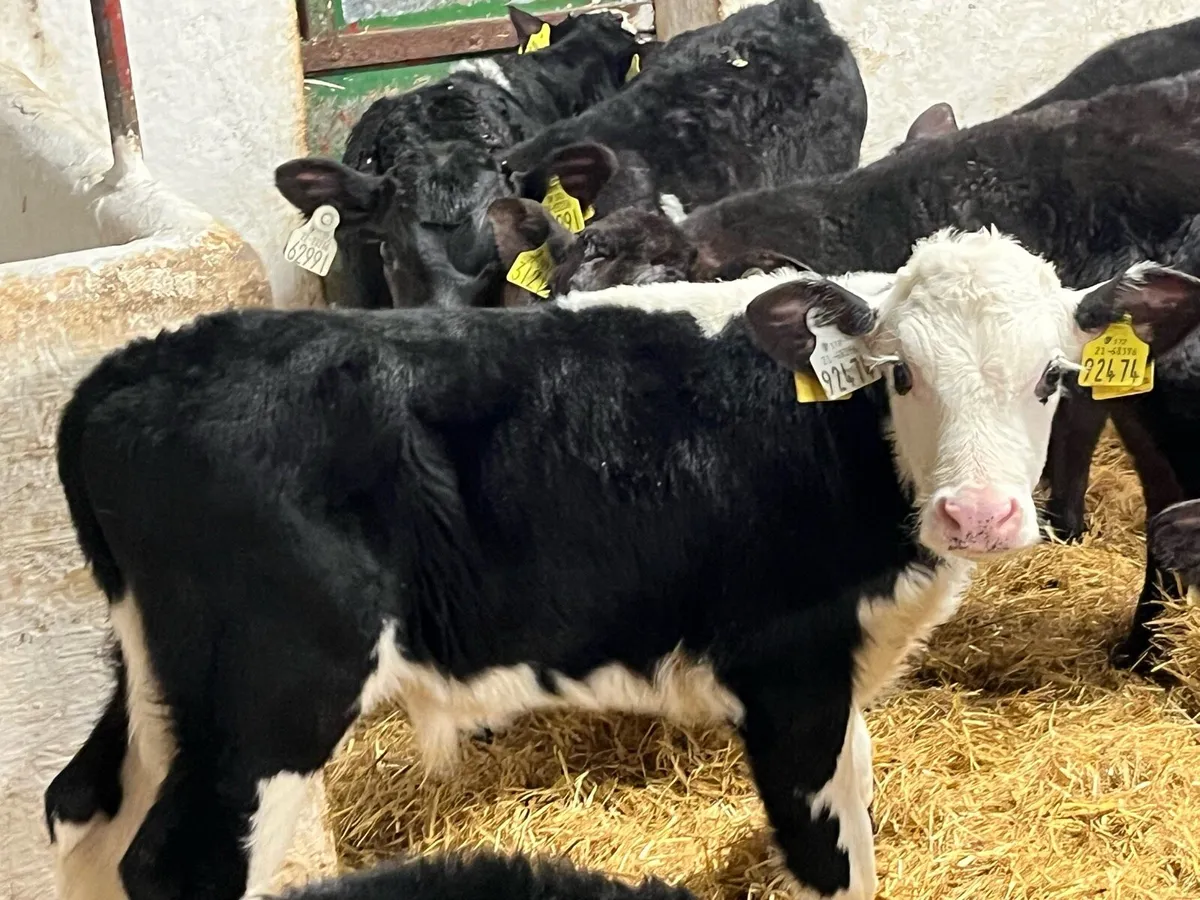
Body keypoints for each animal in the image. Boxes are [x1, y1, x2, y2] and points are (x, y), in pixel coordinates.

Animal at [43, 227, 1200, 900]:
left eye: (1054, 377)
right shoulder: (787, 673)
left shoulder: (837, 682)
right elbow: (830, 860)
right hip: (274, 694)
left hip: (163, 682)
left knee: (82, 811)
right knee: (173, 866)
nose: (981, 514)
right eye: (902, 374)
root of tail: (133, 369)